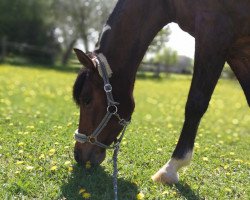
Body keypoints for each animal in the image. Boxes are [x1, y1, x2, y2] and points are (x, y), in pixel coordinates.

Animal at [72, 0, 250, 184]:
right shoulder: (236, 51)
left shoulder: (213, 32)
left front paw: (171, 168)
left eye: (87, 99)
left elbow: (195, 103)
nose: (78, 155)